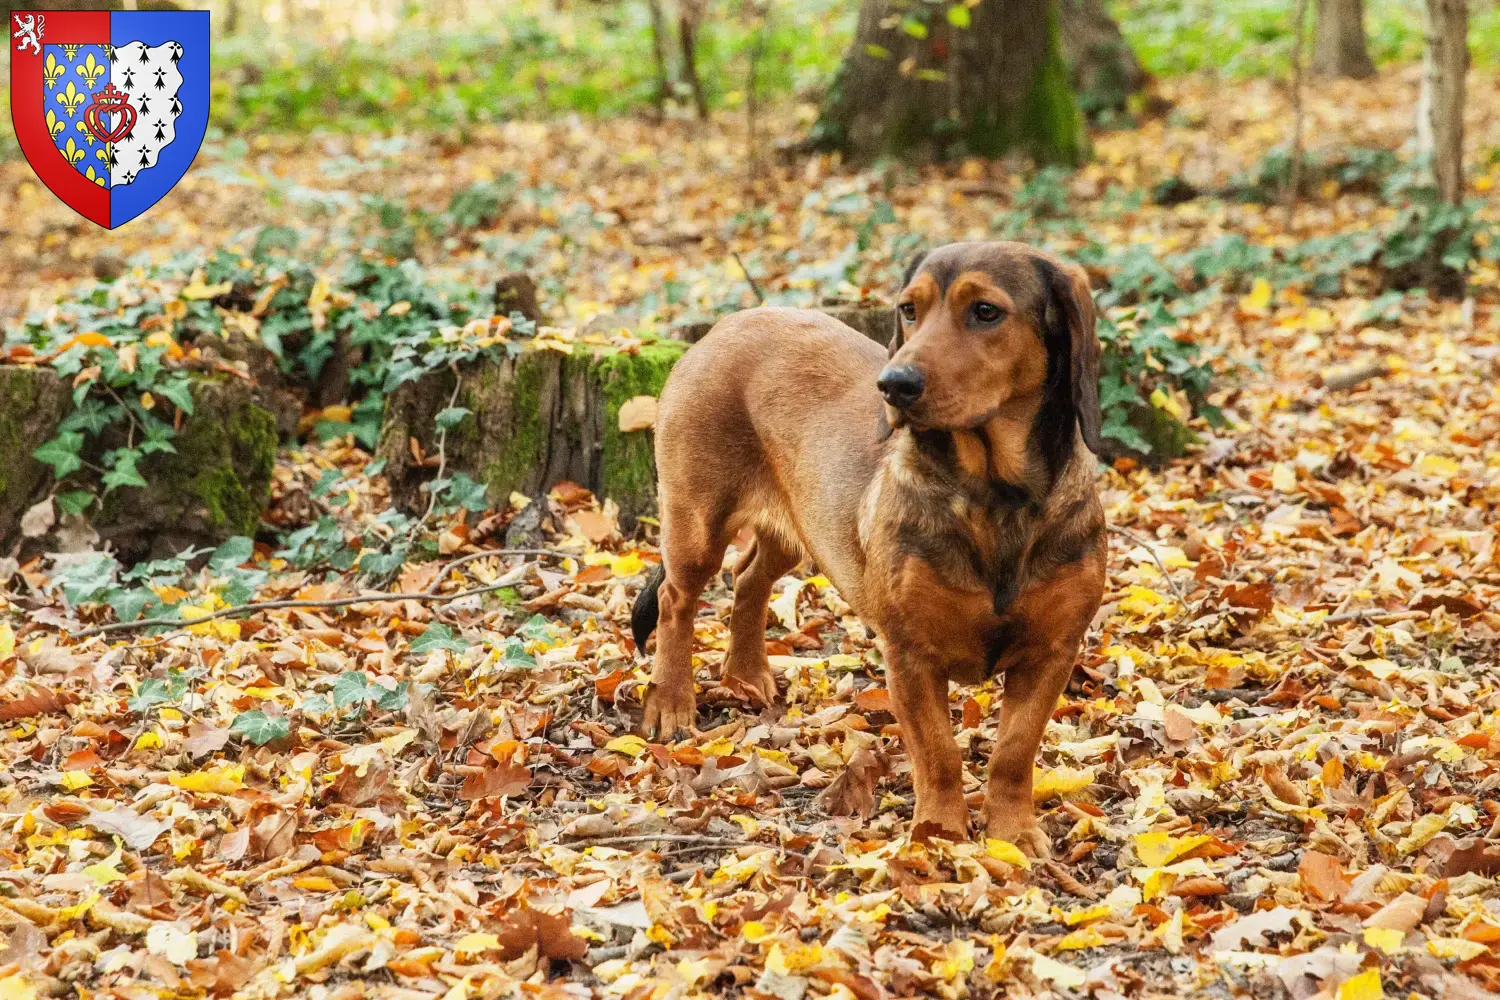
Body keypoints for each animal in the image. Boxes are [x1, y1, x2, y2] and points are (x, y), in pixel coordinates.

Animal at [627, 238, 1110, 857]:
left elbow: (1012, 752)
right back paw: (671, 703)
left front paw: (1013, 834)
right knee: (676, 600)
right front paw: (938, 836)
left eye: (986, 311)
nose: (894, 384)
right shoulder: (910, 656)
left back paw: (746, 673)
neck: (994, 496)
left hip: (801, 526)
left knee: (749, 578)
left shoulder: (1051, 652)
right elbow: (939, 754)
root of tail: (728, 323)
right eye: (909, 309)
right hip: (695, 523)